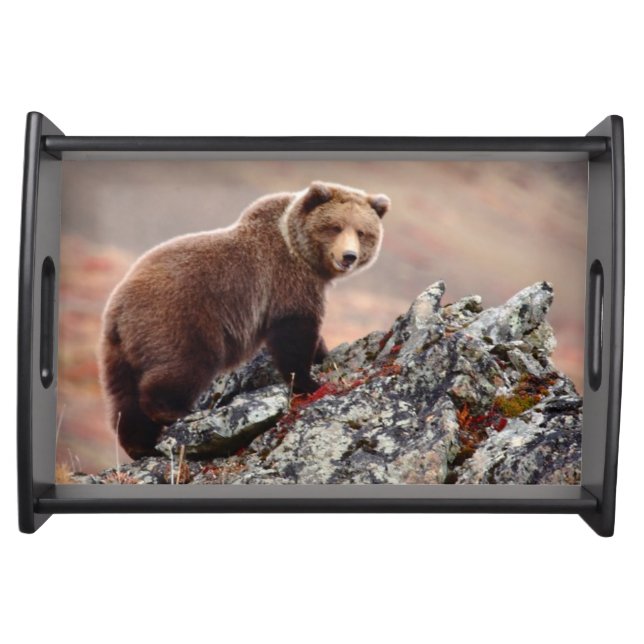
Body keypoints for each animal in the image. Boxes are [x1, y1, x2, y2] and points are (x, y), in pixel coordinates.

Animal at [98, 180, 390, 458]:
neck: (303, 255)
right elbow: (293, 334)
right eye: (335, 227)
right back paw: (174, 412)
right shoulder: (286, 281)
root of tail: (118, 309)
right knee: (186, 364)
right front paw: (310, 382)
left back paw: (139, 445)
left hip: (119, 351)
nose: (348, 256)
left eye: (362, 232)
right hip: (178, 320)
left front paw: (322, 356)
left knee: (124, 397)